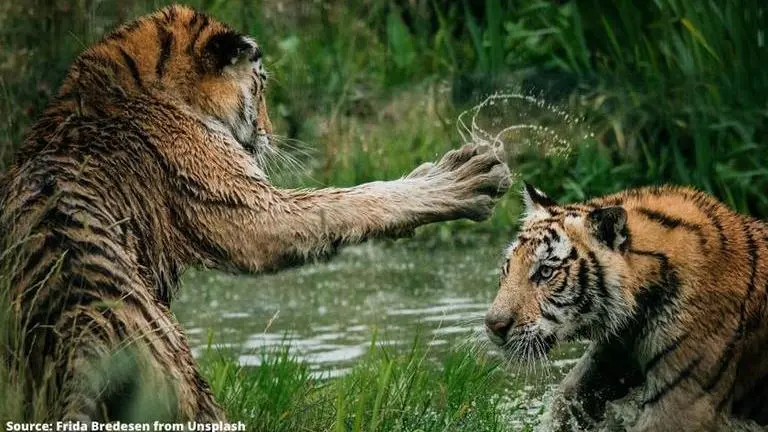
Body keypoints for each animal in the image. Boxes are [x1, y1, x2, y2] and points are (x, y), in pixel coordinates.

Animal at [0, 4, 512, 422]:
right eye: (261, 88)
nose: (268, 132)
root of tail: (82, 350)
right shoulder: (250, 210)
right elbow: (349, 201)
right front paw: (463, 179)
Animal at [485, 182, 768, 431]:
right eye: (508, 268)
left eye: (545, 272)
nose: (493, 325)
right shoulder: (610, 358)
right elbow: (565, 403)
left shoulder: (685, 404)